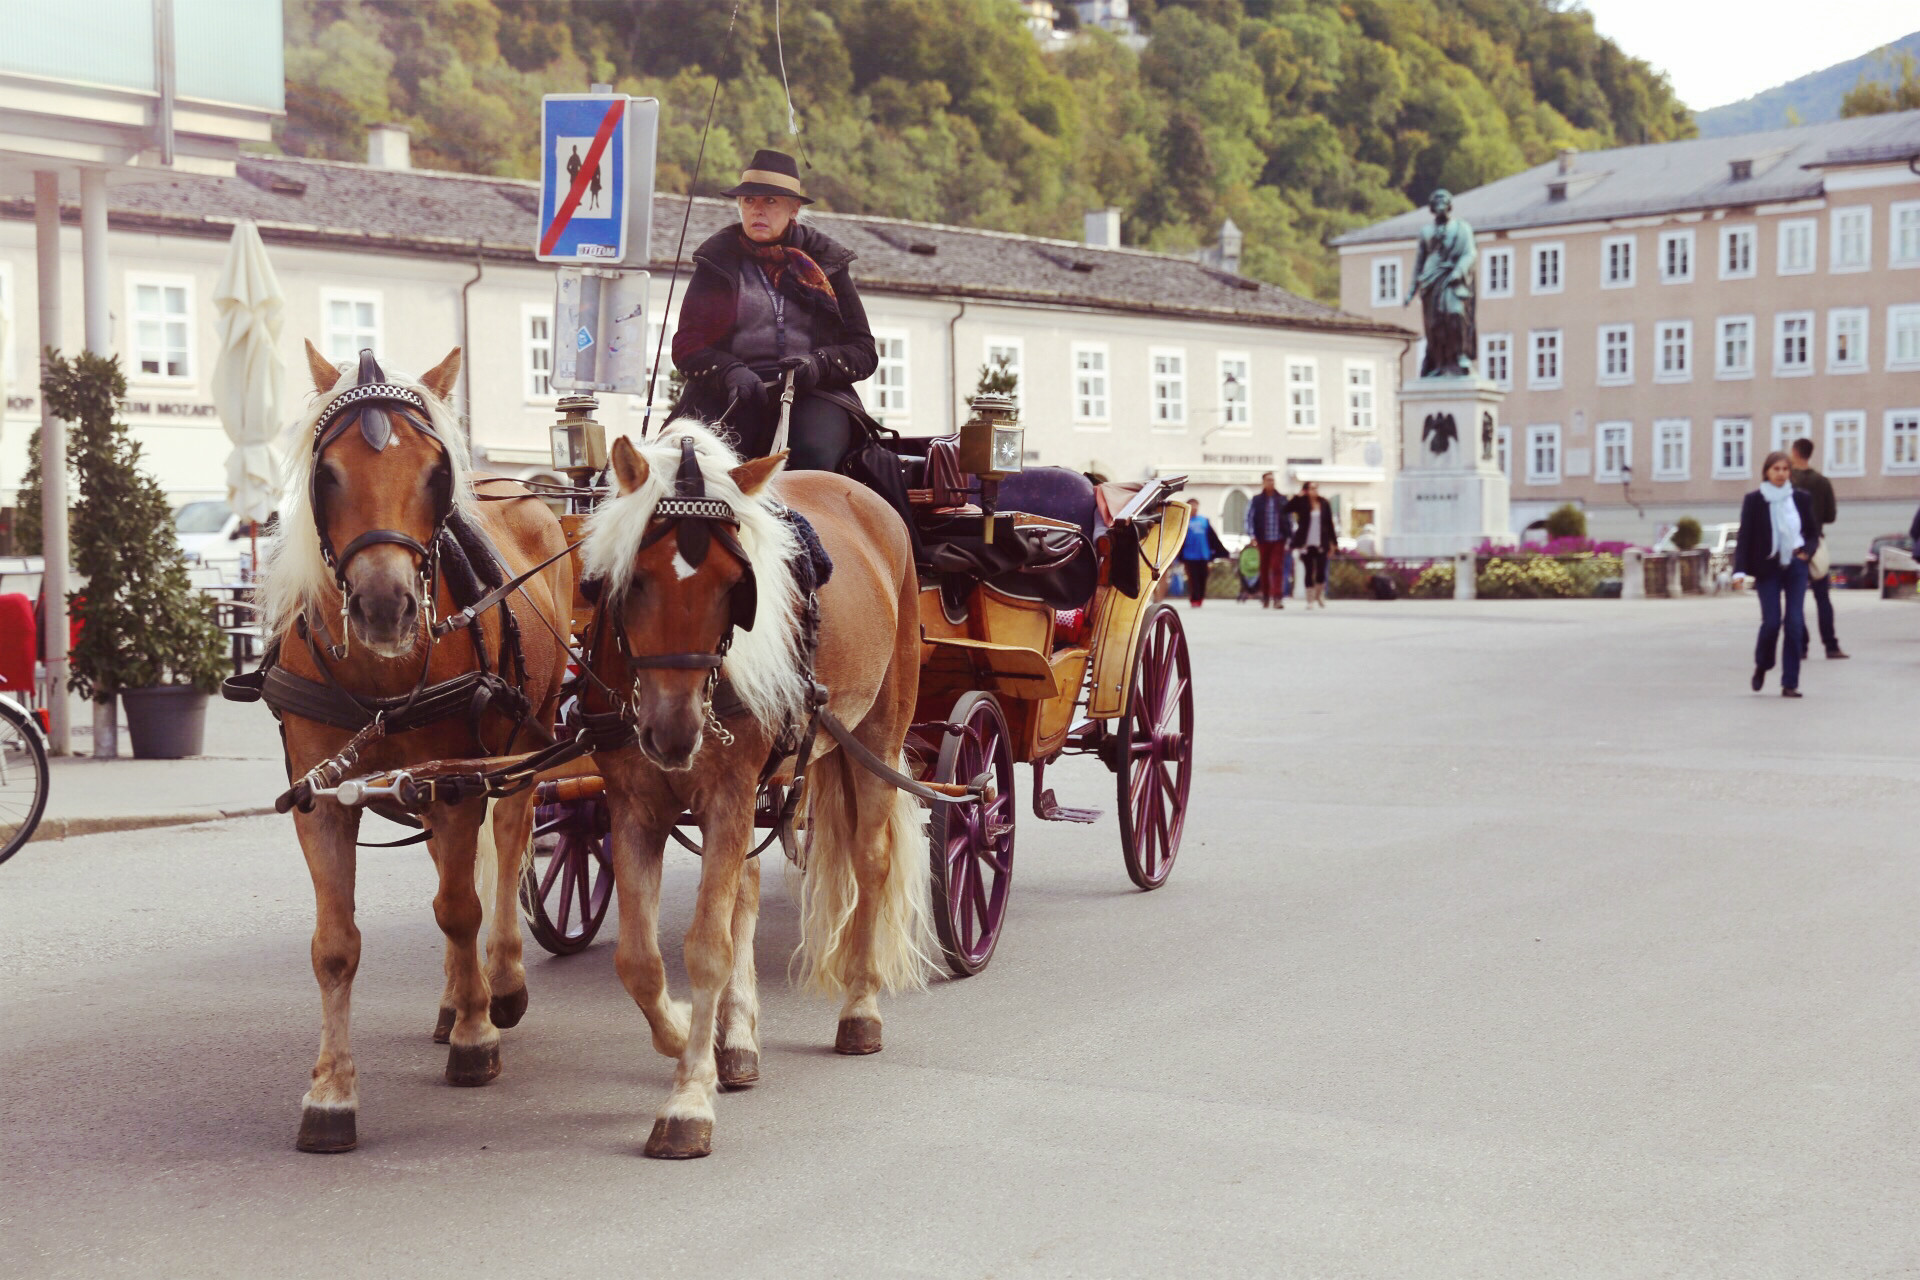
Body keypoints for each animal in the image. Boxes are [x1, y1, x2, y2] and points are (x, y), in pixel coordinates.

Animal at [263, 339, 576, 1151]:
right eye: (327, 473)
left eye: (436, 474)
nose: (385, 608)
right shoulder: (323, 798)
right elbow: (335, 945)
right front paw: (331, 1093)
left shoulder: (459, 782)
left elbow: (461, 907)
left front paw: (476, 1038)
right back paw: (456, 996)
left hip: (522, 746)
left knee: (508, 845)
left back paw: (498, 986)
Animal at [583, 422, 936, 1159]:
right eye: (635, 580)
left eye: (732, 586)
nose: (673, 733)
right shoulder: (634, 803)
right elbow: (639, 959)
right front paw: (687, 1034)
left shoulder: (728, 794)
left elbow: (706, 947)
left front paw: (689, 1099)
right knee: (744, 889)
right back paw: (739, 1039)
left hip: (877, 733)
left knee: (871, 862)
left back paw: (860, 1007)